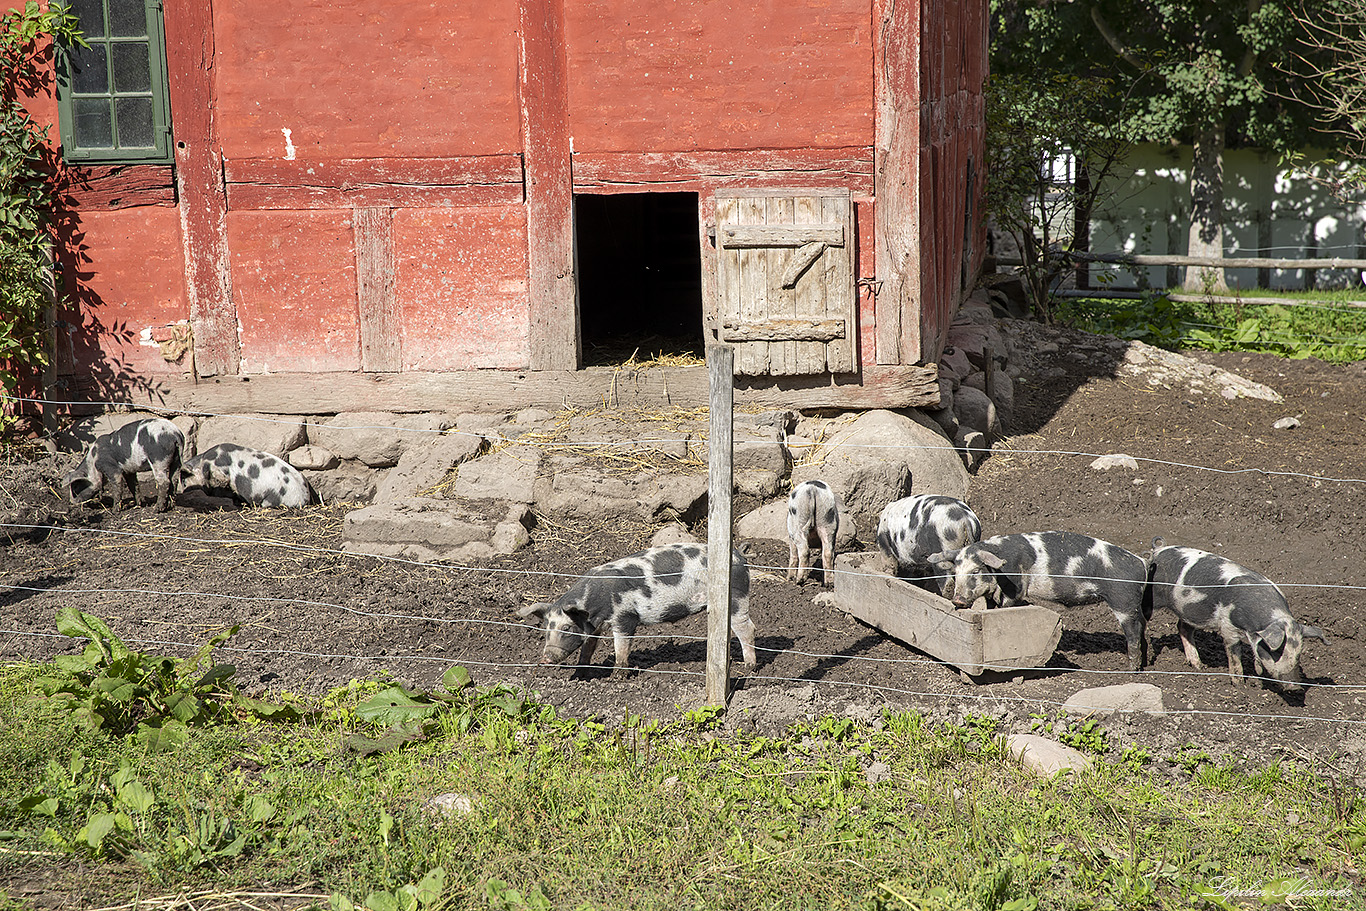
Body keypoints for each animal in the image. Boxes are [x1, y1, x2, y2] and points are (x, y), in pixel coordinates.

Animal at [519, 540, 759, 677]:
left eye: (567, 628)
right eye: (545, 630)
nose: (546, 657)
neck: (594, 605)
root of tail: (740, 557)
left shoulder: (625, 616)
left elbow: (622, 645)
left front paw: (618, 675)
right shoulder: (595, 625)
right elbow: (589, 646)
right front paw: (581, 672)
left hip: (737, 596)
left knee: (747, 628)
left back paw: (749, 668)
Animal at [928, 535, 1152, 669]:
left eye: (976, 571)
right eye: (955, 572)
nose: (958, 599)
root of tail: (1141, 563)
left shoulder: (1015, 590)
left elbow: (1007, 606)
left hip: (1123, 601)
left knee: (1133, 634)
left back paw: (1131, 670)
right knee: (1142, 628)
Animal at [1141, 540, 1322, 691]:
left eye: (1298, 653)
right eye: (1276, 651)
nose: (1295, 687)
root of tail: (1159, 549)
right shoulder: (1228, 626)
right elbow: (1234, 655)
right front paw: (1240, 686)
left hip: (1189, 610)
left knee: (1183, 627)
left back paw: (1198, 666)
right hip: (1152, 597)